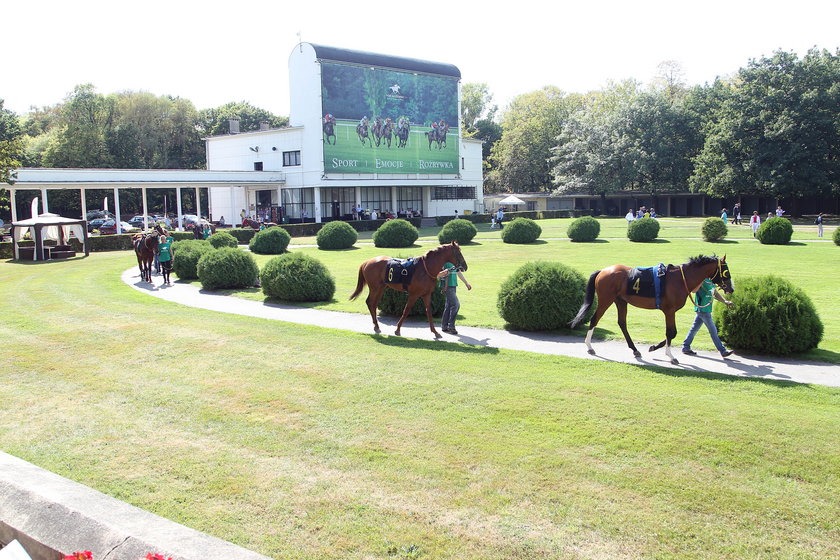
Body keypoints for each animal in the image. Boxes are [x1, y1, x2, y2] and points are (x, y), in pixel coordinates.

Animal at [568, 256, 732, 366]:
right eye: (726, 271)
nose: (731, 288)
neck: (680, 279)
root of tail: (603, 270)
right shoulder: (669, 311)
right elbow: (671, 332)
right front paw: (670, 356)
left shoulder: (669, 311)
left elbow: (671, 333)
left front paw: (653, 347)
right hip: (605, 300)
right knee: (595, 319)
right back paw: (589, 347)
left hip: (620, 301)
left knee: (622, 323)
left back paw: (635, 349)